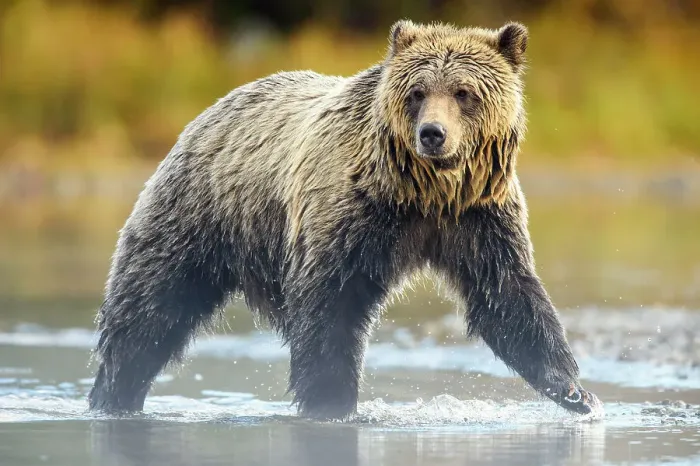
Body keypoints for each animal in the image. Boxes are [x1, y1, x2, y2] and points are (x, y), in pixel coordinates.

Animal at [88, 19, 602, 420]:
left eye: (464, 92)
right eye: (418, 92)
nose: (432, 134)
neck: (424, 192)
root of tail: (209, 110)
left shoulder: (477, 217)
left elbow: (507, 296)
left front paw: (576, 392)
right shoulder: (353, 213)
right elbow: (329, 304)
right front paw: (331, 401)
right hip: (196, 215)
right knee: (149, 309)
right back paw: (112, 394)